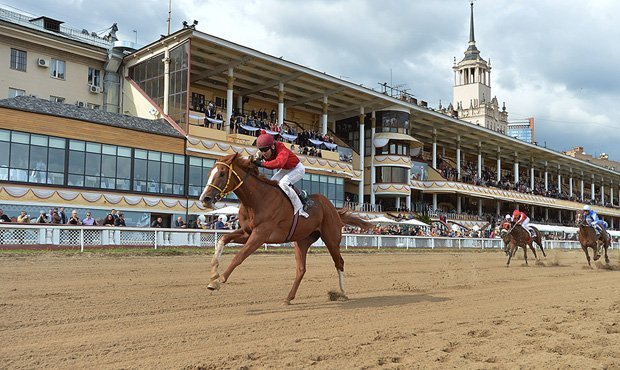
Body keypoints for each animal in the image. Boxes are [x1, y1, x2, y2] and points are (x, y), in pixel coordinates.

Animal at [201, 152, 370, 304]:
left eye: (222, 173)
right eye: (209, 173)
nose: (205, 199)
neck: (256, 200)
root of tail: (333, 209)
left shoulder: (260, 235)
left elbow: (239, 257)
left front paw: (217, 281)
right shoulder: (247, 232)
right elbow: (223, 239)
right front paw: (214, 272)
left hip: (331, 239)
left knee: (339, 262)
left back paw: (342, 293)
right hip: (302, 241)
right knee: (301, 269)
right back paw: (289, 297)